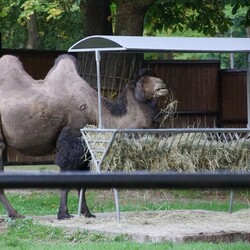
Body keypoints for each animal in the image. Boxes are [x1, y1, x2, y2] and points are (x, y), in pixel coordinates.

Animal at [0, 54, 168, 219]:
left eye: (154, 76)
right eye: (144, 81)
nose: (162, 84)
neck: (97, 111)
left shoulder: (85, 147)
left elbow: (83, 183)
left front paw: (86, 212)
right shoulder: (72, 139)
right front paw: (63, 214)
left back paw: (13, 214)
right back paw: (15, 214)